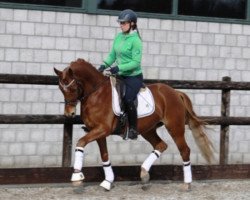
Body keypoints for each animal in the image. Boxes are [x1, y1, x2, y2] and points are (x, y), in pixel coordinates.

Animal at [54, 58, 213, 191]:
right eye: (61, 89)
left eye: (73, 88)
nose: (69, 113)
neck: (96, 93)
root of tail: (175, 92)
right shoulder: (97, 131)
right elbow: (104, 155)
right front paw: (108, 182)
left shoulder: (103, 129)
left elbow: (80, 142)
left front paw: (76, 177)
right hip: (148, 129)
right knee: (161, 145)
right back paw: (144, 173)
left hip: (175, 127)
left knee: (184, 150)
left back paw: (186, 183)